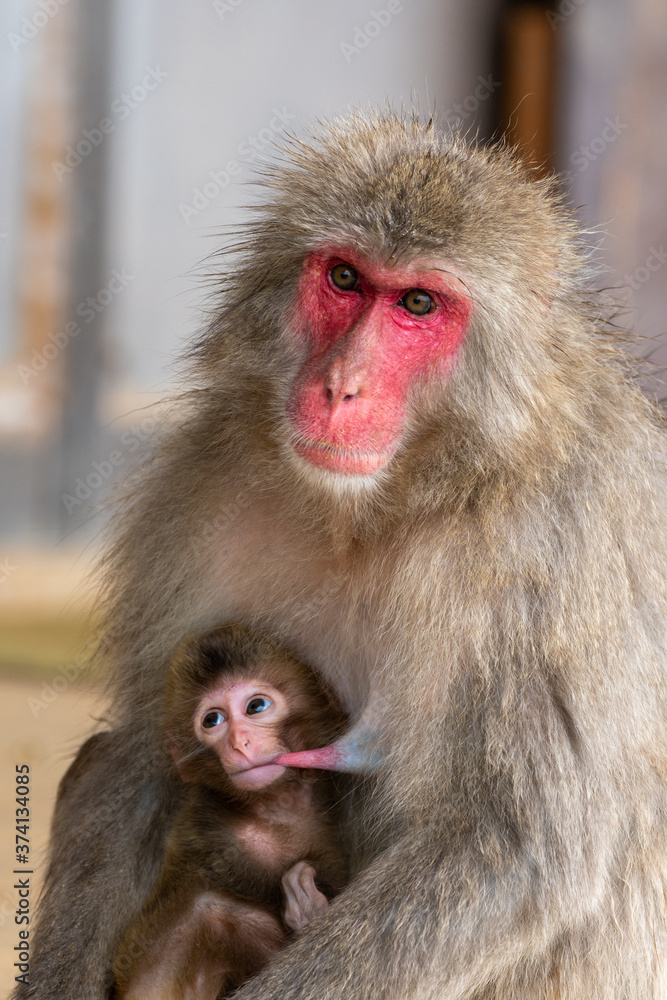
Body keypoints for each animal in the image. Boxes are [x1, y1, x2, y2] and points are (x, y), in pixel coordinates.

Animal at [112, 625, 350, 1000]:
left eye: (256, 706)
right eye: (212, 720)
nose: (239, 742)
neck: (274, 810)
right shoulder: (212, 836)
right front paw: (306, 913)